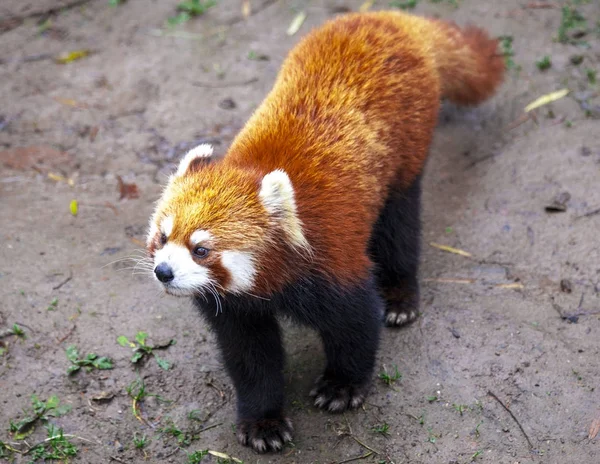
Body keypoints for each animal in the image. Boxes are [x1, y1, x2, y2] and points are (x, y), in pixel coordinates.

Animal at [148, 10, 504, 454]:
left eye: (201, 249)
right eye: (163, 237)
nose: (163, 271)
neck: (271, 281)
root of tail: (387, 18)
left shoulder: (331, 258)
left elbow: (357, 322)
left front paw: (342, 386)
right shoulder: (235, 308)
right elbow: (251, 359)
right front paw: (263, 421)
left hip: (407, 153)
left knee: (400, 229)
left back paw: (400, 295)